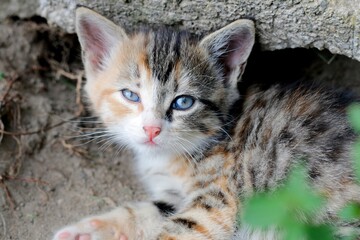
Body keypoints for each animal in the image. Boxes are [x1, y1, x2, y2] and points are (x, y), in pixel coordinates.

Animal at [52, 7, 360, 240]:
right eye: (130, 95)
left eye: (183, 102)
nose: (151, 129)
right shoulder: (176, 196)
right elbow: (151, 209)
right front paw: (91, 229)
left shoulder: (218, 200)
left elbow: (178, 228)